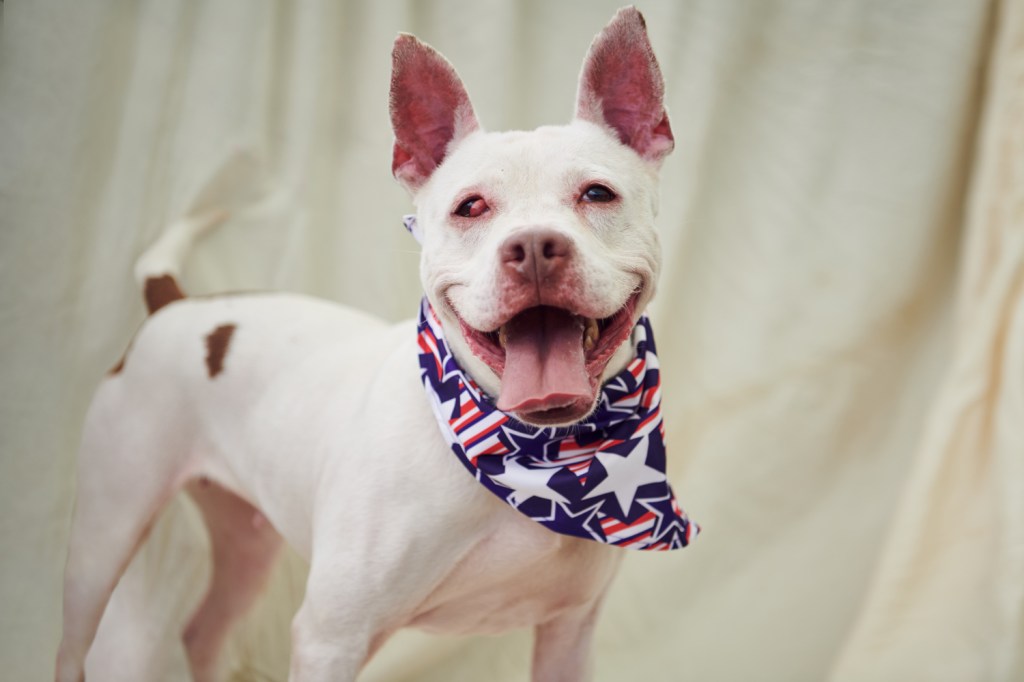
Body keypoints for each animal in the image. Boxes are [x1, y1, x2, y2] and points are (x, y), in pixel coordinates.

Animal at [56, 6, 696, 679]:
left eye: (597, 193)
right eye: (471, 206)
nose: (534, 247)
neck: (530, 456)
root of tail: (175, 304)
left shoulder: (569, 633)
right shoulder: (331, 636)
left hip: (245, 541)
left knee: (202, 632)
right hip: (103, 538)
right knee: (77, 637)